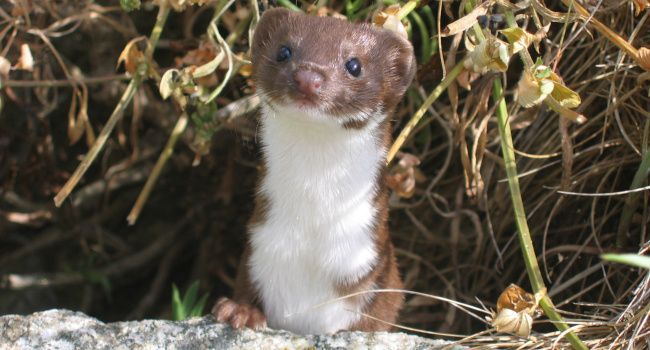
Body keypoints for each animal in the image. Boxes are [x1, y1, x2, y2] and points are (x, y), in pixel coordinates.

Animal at [213, 8, 416, 334]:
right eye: (284, 50)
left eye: (354, 64)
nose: (308, 77)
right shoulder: (257, 248)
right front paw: (240, 311)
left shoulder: (376, 275)